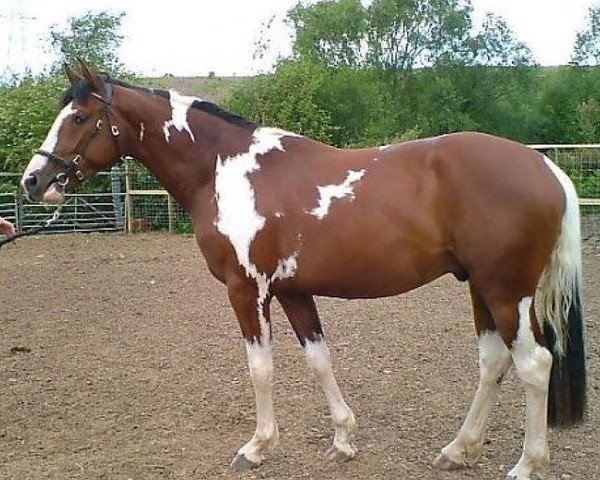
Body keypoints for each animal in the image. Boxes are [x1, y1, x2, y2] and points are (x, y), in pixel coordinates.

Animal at [19, 63, 584, 480]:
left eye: (78, 118)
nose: (33, 180)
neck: (225, 170)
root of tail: (547, 167)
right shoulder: (293, 292)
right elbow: (319, 360)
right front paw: (343, 439)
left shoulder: (246, 290)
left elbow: (261, 369)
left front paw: (256, 447)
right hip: (481, 289)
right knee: (493, 361)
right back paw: (458, 449)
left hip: (505, 291)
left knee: (534, 364)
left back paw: (527, 464)